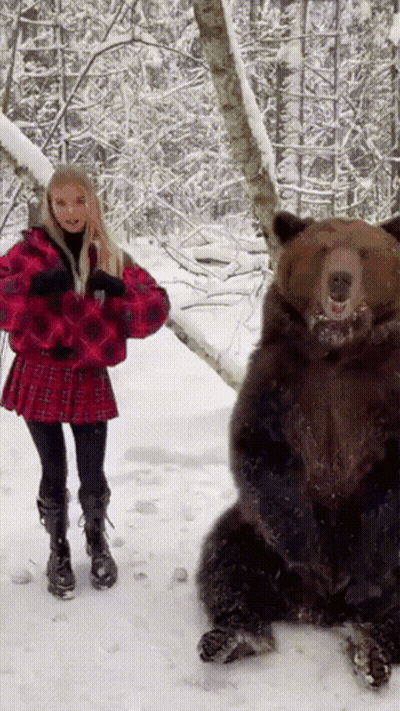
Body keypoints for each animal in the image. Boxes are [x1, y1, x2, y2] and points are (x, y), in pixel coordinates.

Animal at [197, 212, 400, 689]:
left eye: (365, 251)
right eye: (323, 248)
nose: (340, 280)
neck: (337, 352)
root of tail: (316, 610)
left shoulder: (386, 388)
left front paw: (360, 575)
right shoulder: (280, 379)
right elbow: (261, 451)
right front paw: (311, 558)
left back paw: (372, 650)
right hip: (255, 538)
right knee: (226, 558)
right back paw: (232, 638)